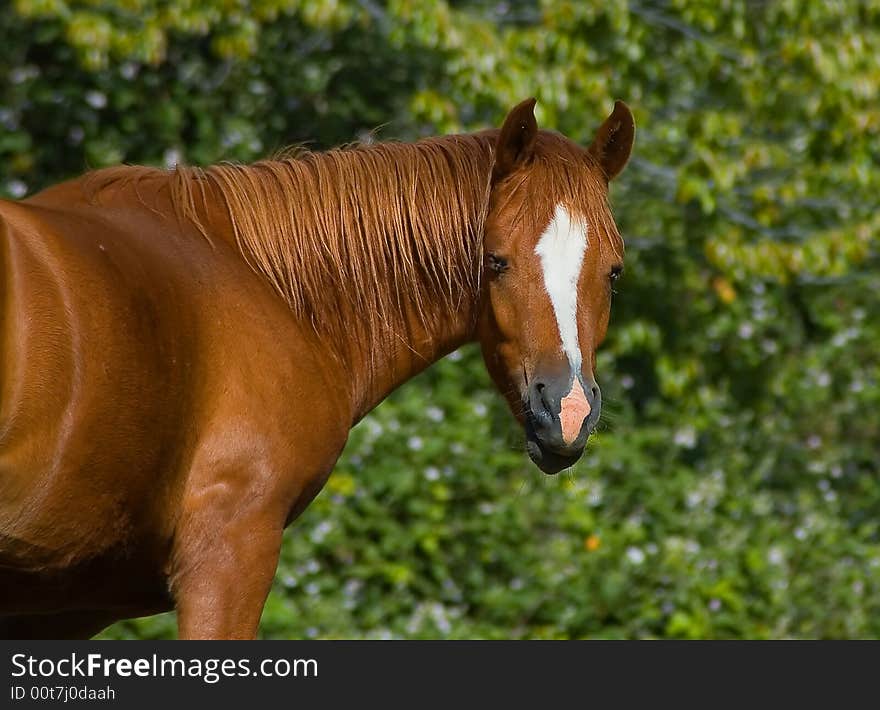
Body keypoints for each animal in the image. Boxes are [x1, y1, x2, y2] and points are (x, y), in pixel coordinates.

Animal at [0, 98, 632, 640]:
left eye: (614, 272)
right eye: (496, 262)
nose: (567, 411)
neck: (271, 284)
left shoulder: (60, 607)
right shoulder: (229, 554)